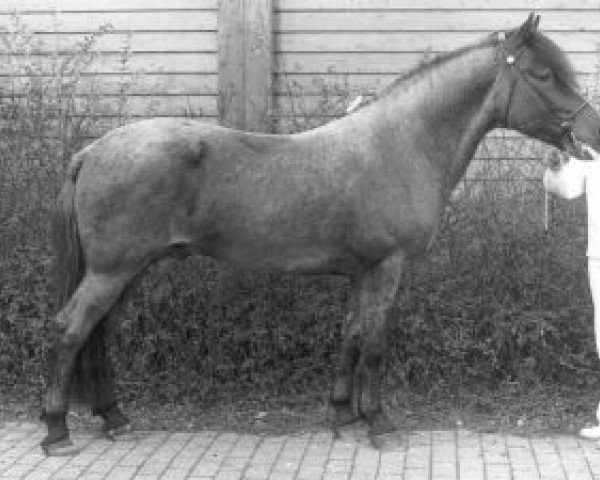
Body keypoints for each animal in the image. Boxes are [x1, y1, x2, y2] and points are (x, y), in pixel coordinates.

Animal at [39, 12, 600, 454]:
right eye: (543, 74)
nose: (591, 135)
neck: (402, 145)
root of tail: (94, 150)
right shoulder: (387, 268)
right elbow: (375, 342)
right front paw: (380, 425)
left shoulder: (361, 272)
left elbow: (351, 335)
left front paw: (342, 415)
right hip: (114, 270)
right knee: (71, 330)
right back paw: (56, 432)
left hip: (128, 271)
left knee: (97, 333)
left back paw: (113, 418)